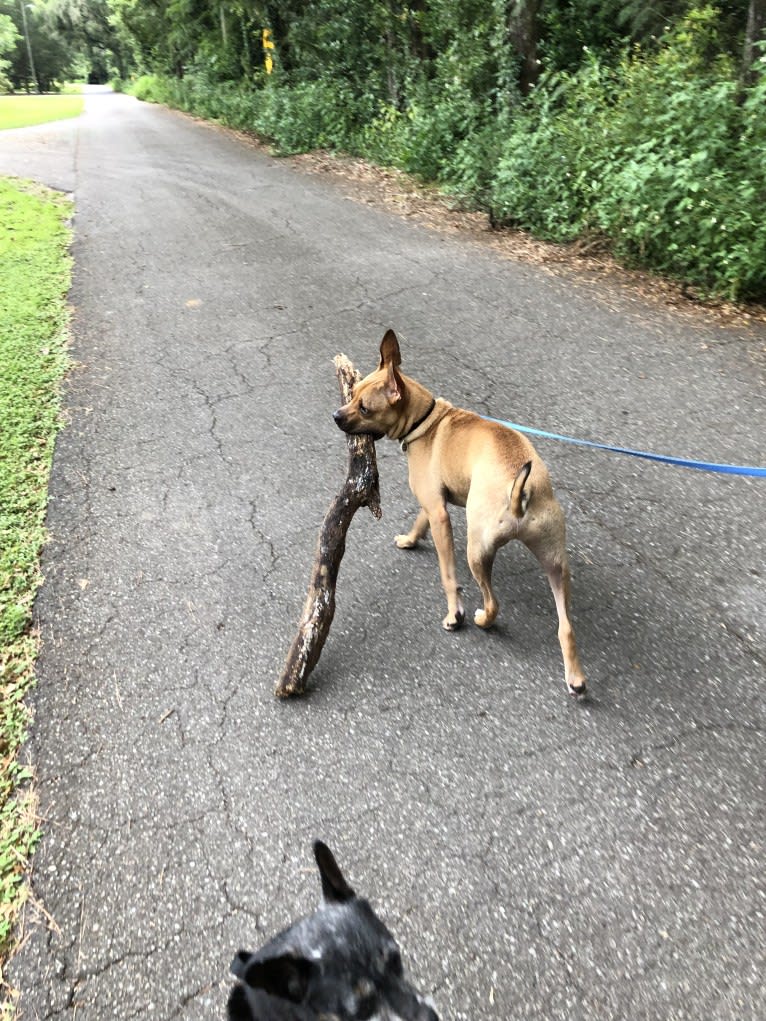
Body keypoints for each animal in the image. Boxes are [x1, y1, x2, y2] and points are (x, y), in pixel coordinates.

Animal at [332, 326, 592, 694]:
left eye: (365, 409)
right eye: (351, 394)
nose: (336, 416)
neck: (426, 418)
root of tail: (521, 493)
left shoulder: (440, 514)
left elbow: (447, 575)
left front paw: (454, 611)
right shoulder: (432, 504)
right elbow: (419, 521)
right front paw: (410, 539)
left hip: (476, 550)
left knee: (492, 601)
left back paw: (478, 618)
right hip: (556, 563)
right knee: (566, 626)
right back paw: (575, 677)